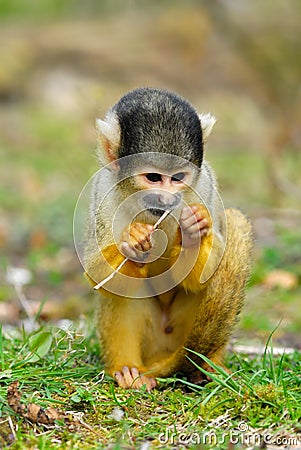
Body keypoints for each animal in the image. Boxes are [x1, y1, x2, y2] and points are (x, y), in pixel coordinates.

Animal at [83, 87, 252, 390]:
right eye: (153, 177)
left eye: (178, 178)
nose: (167, 199)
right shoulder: (103, 191)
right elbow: (96, 273)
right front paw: (133, 242)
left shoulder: (205, 186)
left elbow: (206, 272)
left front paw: (193, 235)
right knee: (124, 292)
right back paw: (128, 369)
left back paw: (208, 366)